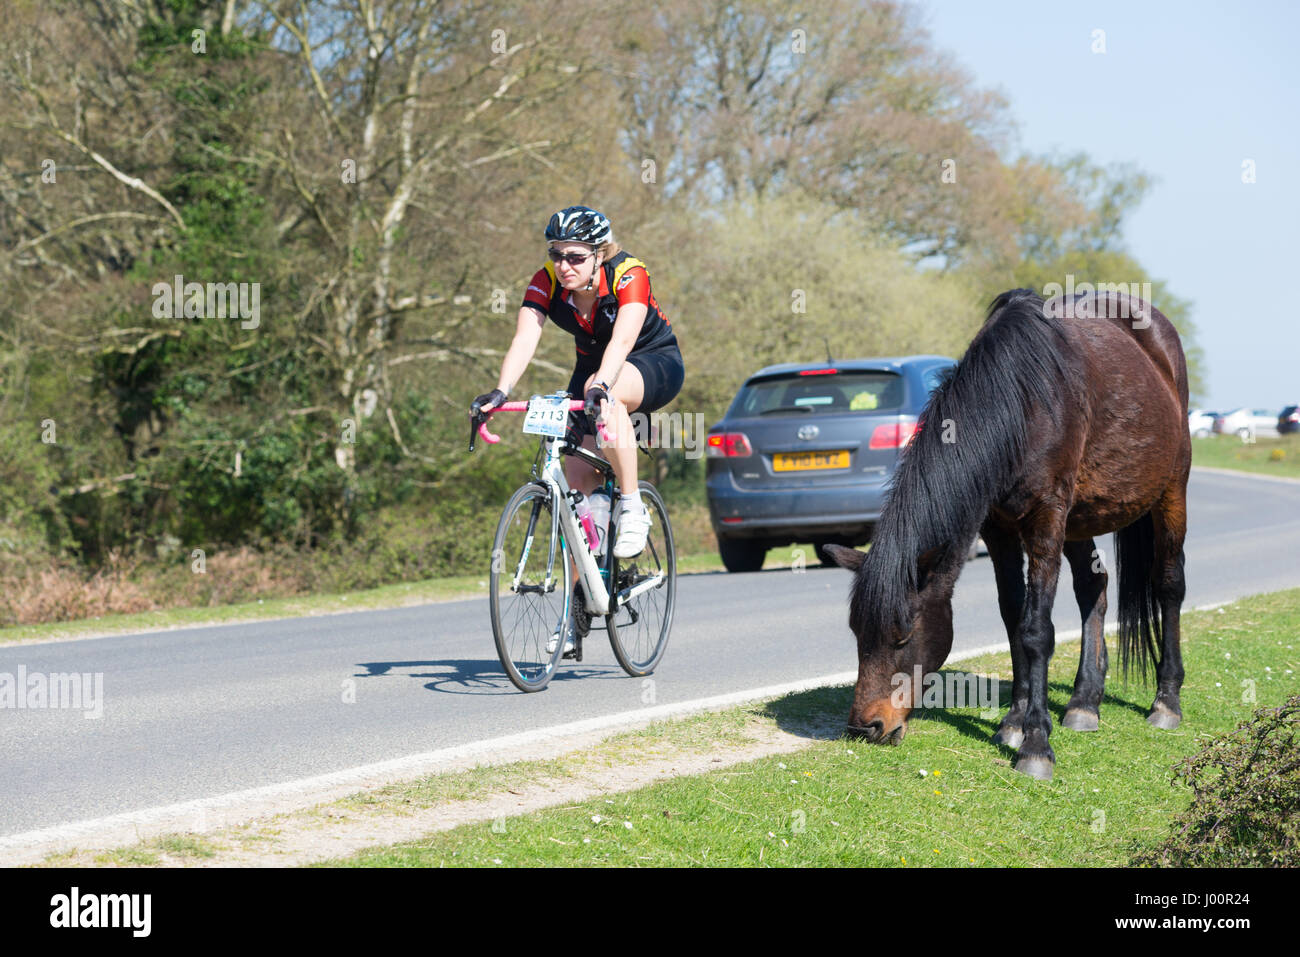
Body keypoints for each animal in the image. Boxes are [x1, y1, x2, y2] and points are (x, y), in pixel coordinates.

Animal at [832, 287, 1190, 780]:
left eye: (903, 636)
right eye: (856, 633)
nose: (865, 726)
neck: (1021, 403)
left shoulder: (1045, 522)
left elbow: (1035, 630)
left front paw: (1036, 745)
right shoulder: (998, 529)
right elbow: (1011, 617)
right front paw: (1015, 722)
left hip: (1171, 490)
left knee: (1169, 585)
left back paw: (1166, 701)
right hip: (1080, 519)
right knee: (1093, 586)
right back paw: (1084, 702)